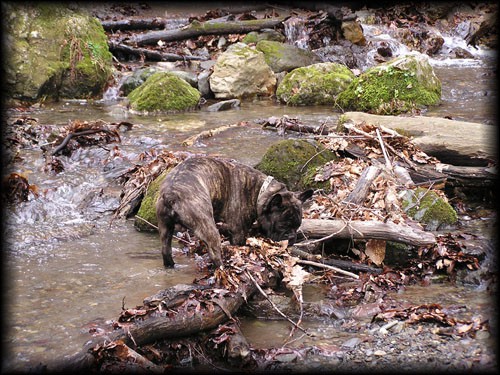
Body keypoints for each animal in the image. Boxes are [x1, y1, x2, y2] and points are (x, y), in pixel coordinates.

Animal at [156, 157, 312, 268]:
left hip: (165, 229)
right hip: (208, 227)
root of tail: (171, 194)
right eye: (282, 226)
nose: (291, 237)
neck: (259, 190)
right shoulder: (239, 231)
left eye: (298, 226)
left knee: (166, 250)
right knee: (215, 253)